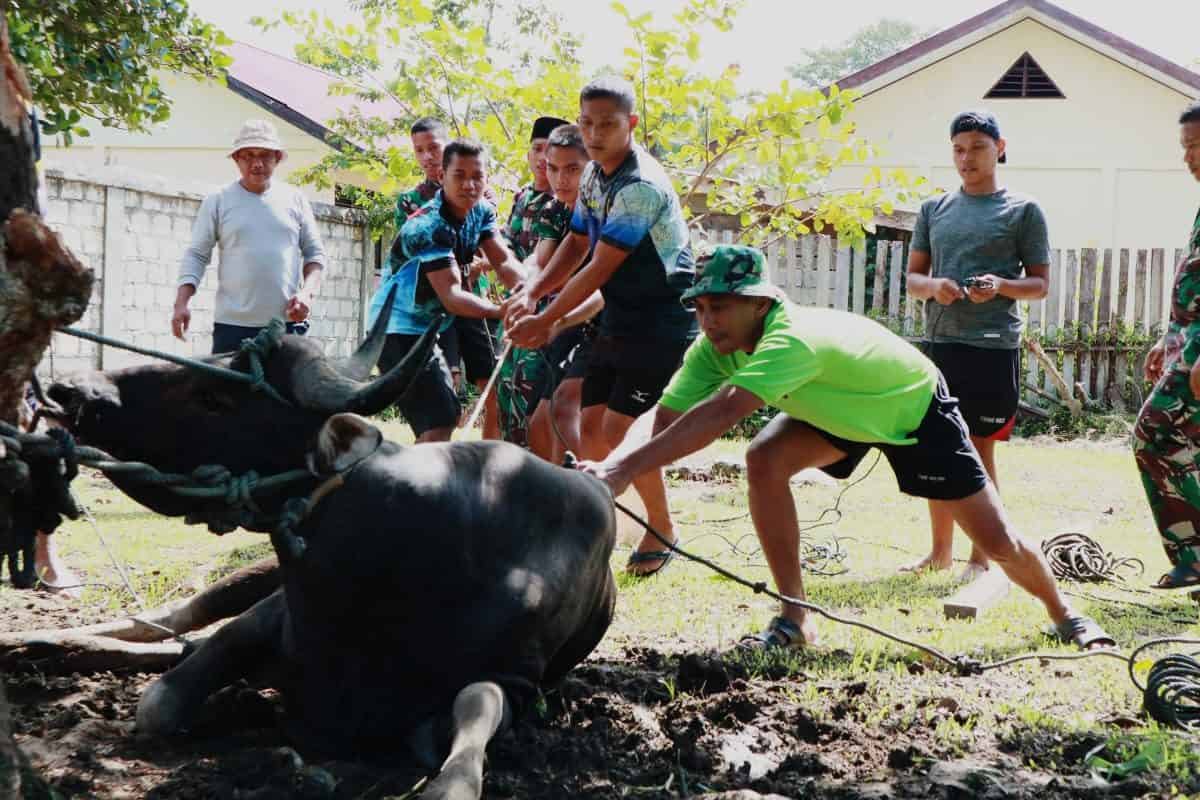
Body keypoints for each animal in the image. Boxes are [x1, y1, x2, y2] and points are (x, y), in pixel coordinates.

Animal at [42, 303, 619, 796]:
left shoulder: (515, 683)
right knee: (171, 618)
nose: (72, 390)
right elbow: (160, 699)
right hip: (252, 576)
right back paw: (50, 637)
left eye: (215, 398)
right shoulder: (274, 614)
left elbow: (469, 716)